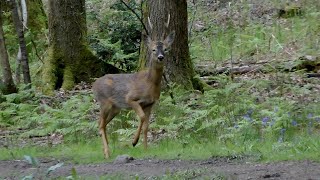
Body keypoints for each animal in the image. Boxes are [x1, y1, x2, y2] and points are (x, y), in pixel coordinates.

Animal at [92, 17, 175, 159]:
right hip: (104, 102)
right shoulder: (131, 99)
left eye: (165, 49)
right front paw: (134, 142)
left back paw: (105, 150)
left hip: (115, 108)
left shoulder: (150, 104)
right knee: (101, 124)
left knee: (102, 124)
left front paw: (146, 148)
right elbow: (141, 117)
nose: (160, 57)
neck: (149, 84)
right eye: (153, 49)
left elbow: (146, 125)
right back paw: (107, 152)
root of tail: (94, 85)